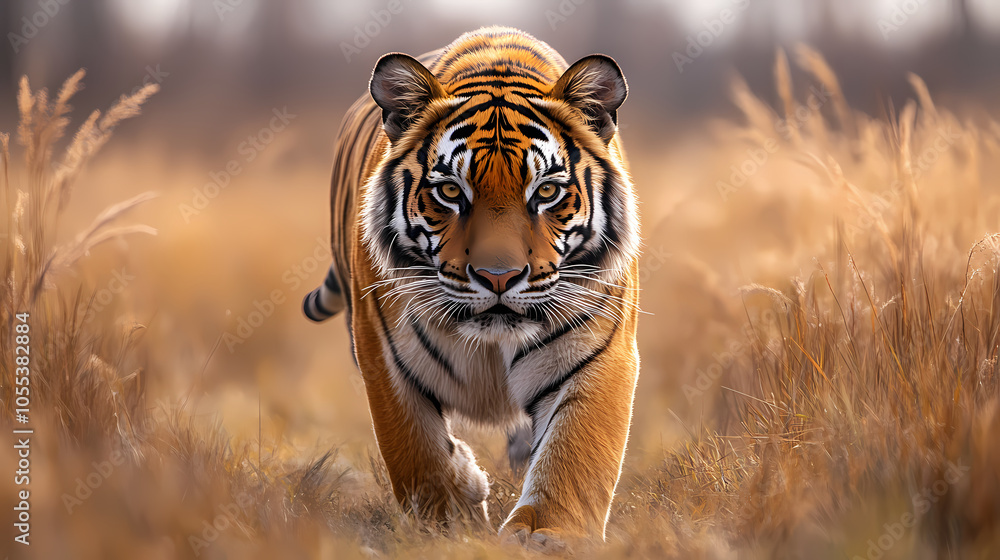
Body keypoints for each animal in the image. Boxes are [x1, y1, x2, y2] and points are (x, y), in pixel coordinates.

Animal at [303, 26, 640, 547]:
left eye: (546, 191)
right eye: (450, 191)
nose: (498, 276)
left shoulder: (598, 349)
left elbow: (576, 448)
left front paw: (548, 534)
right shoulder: (383, 353)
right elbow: (416, 451)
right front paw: (449, 524)